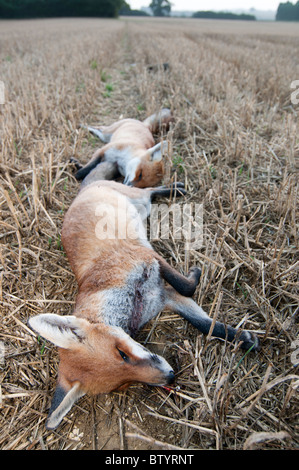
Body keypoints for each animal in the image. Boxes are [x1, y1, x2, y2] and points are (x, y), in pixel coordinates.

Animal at [28, 179, 260, 430]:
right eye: (122, 384)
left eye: (122, 353)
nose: (170, 376)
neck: (134, 306)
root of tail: (85, 188)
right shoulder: (163, 296)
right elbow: (205, 324)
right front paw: (242, 338)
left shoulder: (147, 257)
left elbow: (188, 288)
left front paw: (196, 273)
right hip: (142, 208)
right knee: (149, 195)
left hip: (134, 199)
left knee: (148, 190)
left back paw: (176, 189)